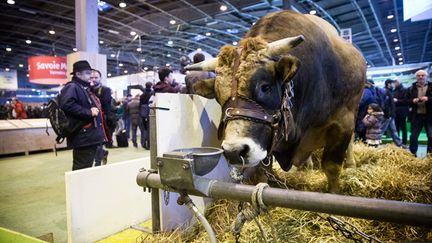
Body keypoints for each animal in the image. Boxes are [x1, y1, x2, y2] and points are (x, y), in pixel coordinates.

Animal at [186, 10, 364, 192]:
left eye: (265, 87)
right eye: (218, 96)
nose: (233, 151)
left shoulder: (343, 124)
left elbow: (331, 167)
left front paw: (334, 191)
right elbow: (263, 171)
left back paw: (350, 163)